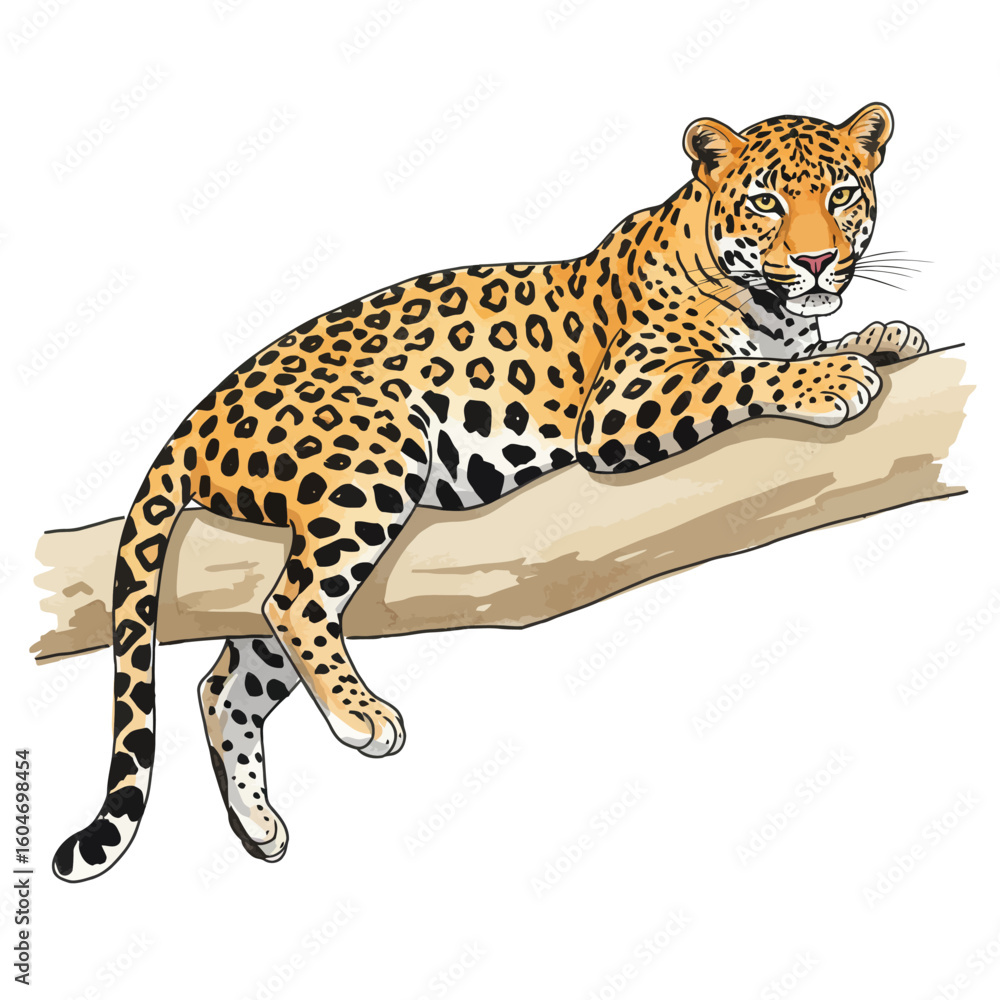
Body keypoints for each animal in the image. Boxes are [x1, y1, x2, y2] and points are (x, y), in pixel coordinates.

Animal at [52, 102, 928, 881]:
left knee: (223, 680)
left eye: (842, 194)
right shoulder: (626, 398)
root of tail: (196, 416)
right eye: (766, 201)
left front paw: (885, 335)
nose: (816, 262)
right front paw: (833, 376)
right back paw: (363, 716)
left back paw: (259, 825)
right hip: (373, 456)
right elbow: (740, 374)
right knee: (290, 603)